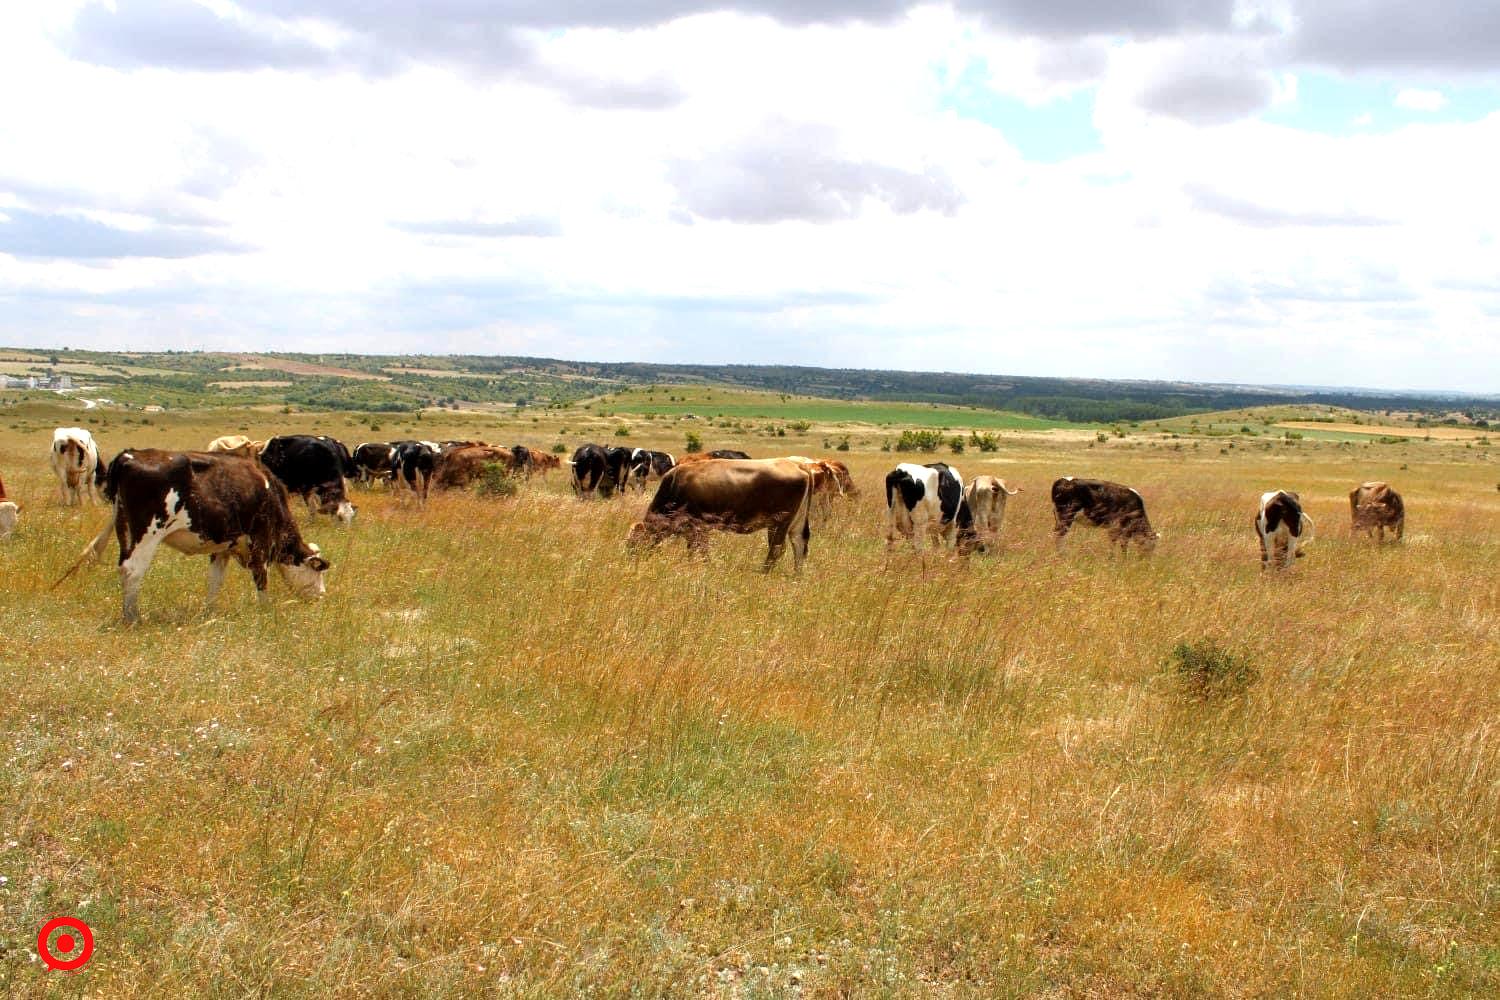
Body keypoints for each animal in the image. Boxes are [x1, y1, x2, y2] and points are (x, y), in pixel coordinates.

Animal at [73, 449, 331, 620]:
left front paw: (210, 612)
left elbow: (215, 580)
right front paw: (265, 611)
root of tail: (129, 455)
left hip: (123, 529)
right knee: (132, 570)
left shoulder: (224, 547)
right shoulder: (261, 542)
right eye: (317, 571)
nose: (321, 596)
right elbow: (261, 579)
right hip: (147, 534)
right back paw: (133, 617)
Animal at [633, 458, 822, 575]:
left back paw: (763, 573)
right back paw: (796, 576)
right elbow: (697, 549)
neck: (675, 485)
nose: (632, 558)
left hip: (780, 523)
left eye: (633, 542)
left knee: (777, 549)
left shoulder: (696, 526)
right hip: (792, 524)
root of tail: (798, 465)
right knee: (799, 546)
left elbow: (698, 549)